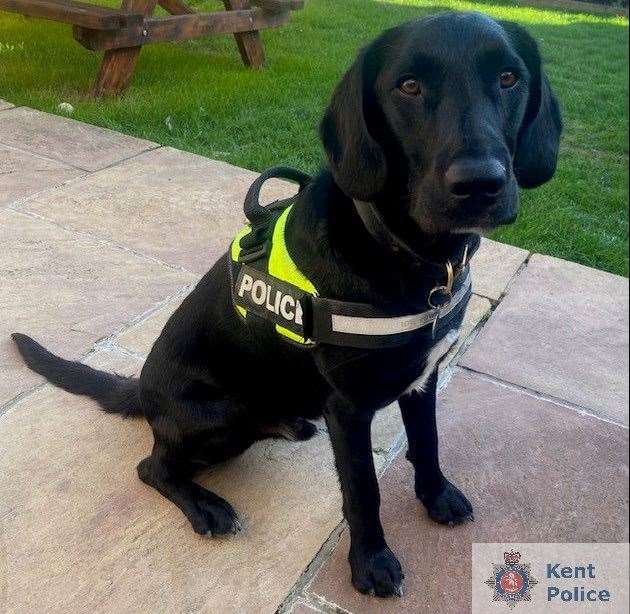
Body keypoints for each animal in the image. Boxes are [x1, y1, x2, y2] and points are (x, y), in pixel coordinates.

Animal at [11, 12, 564, 600]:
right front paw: (370, 564)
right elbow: (363, 492)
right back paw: (206, 506)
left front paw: (436, 497)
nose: (480, 183)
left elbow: (428, 441)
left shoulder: (423, 378)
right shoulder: (348, 409)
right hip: (219, 417)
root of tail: (141, 388)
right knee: (152, 467)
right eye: (408, 86)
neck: (406, 251)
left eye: (508, 78)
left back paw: (285, 425)